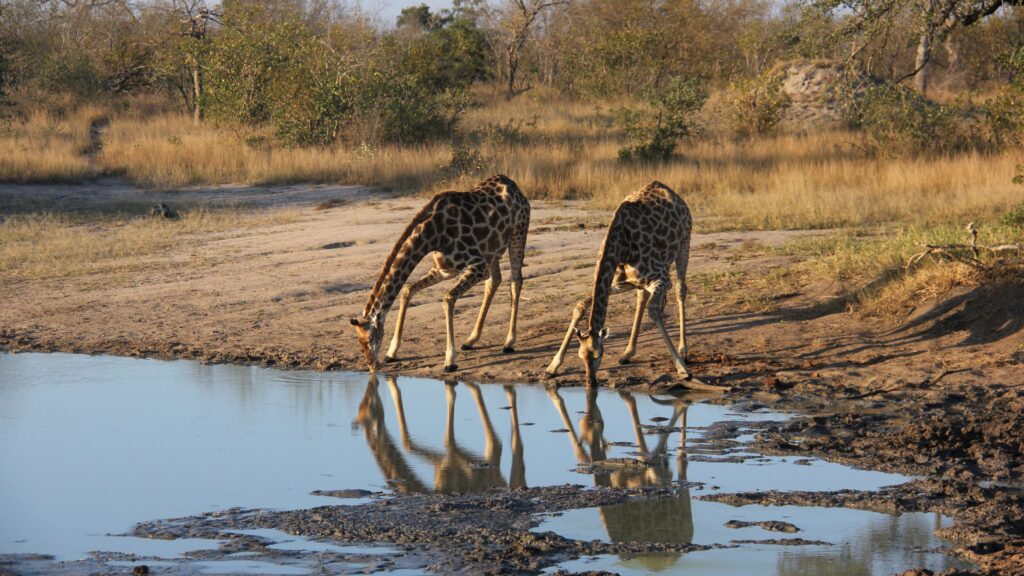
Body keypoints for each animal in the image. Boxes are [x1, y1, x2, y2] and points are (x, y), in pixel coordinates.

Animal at [350, 175, 528, 368]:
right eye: (359, 343)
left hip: (517, 235)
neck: (432, 234)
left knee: (516, 281)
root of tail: (514, 186)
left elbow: (448, 298)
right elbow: (407, 289)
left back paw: (509, 342)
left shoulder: (478, 265)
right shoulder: (444, 269)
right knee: (495, 280)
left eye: (371, 338)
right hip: (492, 249)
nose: (372, 365)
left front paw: (450, 360)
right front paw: (392, 352)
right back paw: (471, 340)